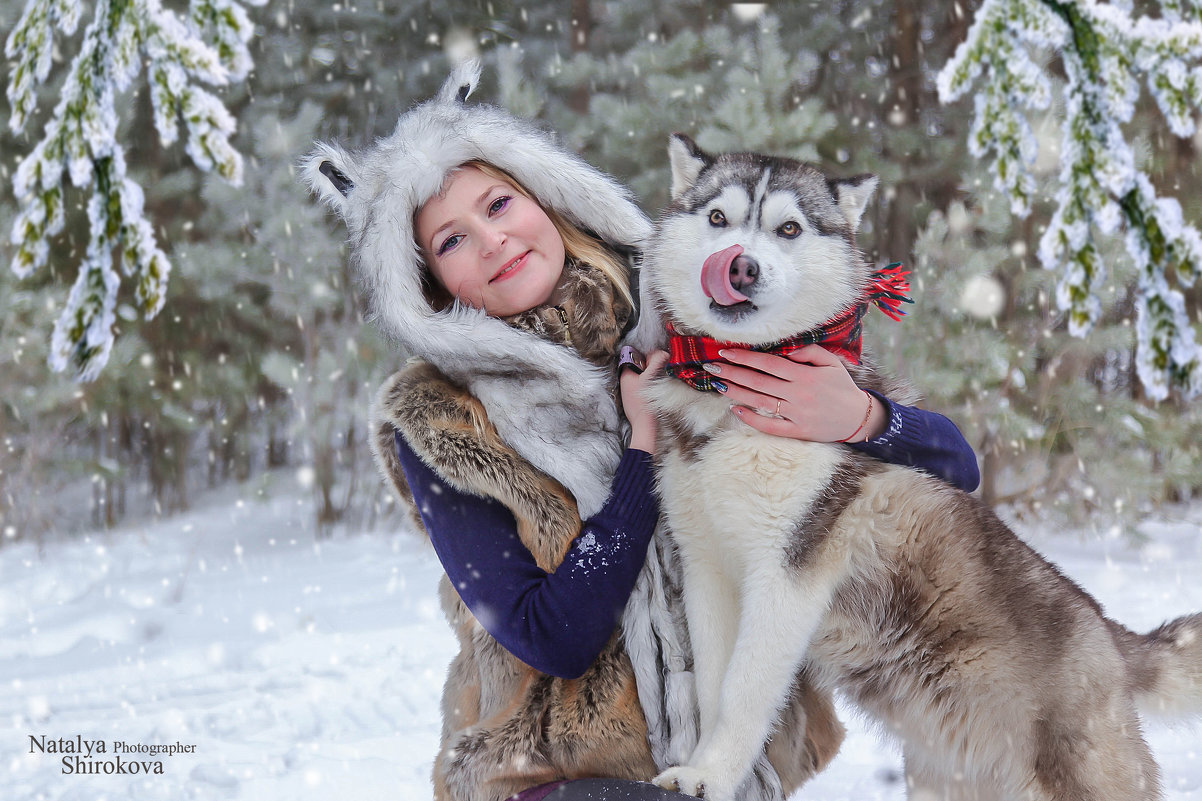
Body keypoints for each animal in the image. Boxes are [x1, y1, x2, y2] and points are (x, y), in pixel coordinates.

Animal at [634, 134, 1197, 793]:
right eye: (718, 218)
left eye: (789, 228)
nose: (740, 265)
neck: (728, 399)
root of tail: (1108, 632)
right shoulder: (707, 565)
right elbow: (714, 689)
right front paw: (708, 769)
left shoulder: (786, 574)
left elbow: (744, 694)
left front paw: (713, 777)